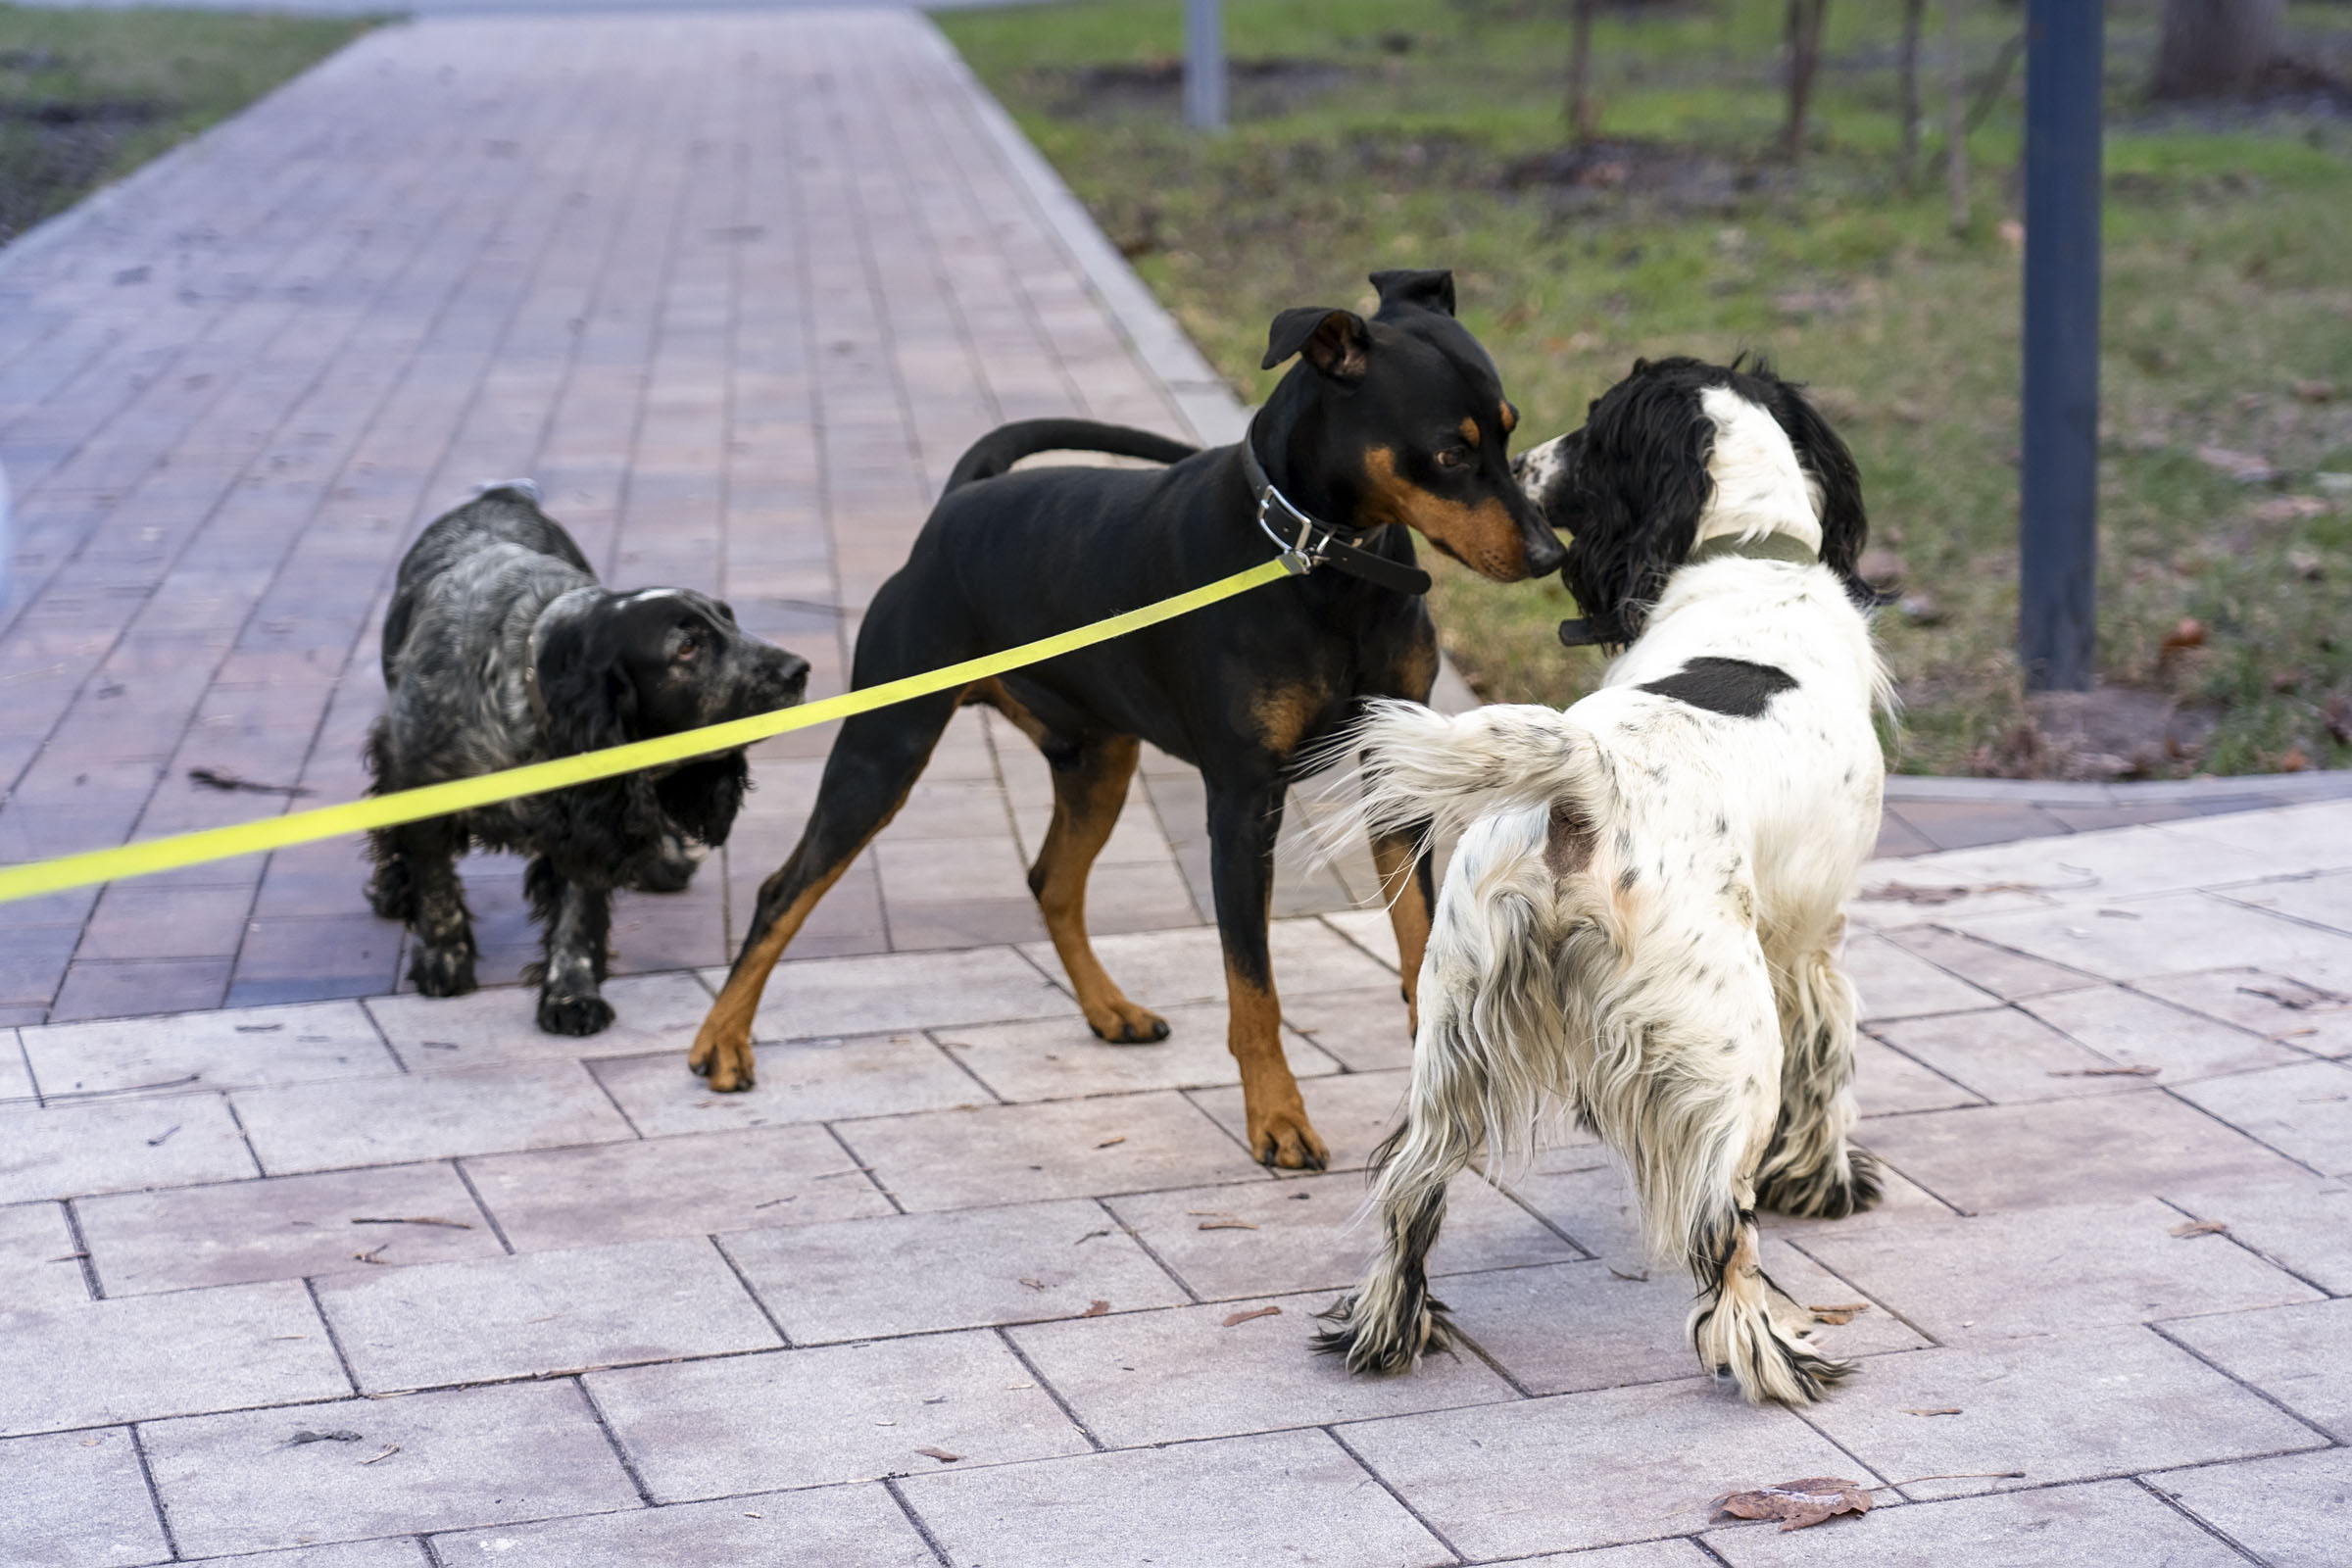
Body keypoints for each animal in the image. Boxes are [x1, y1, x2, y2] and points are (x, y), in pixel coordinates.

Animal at [365, 484, 808, 1034]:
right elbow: (435, 880)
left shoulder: (583, 816)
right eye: (687, 645)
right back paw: (394, 889)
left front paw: (571, 992)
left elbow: (578, 902)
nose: (799, 670)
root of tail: (502, 493)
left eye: (730, 619)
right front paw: (443, 960)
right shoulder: (418, 772)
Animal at [686, 270, 1561, 1165]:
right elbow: (1254, 986)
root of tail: (961, 499)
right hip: (885, 749)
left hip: (1098, 761)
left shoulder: (1392, 771)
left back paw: (1111, 1009)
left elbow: (1418, 940)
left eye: (1508, 431)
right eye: (1450, 451)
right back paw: (722, 1042)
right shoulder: (1242, 802)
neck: (1318, 559)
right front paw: (1277, 1117)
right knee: (784, 890)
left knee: (1051, 881)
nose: (1550, 556)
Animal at [1326, 360, 1890, 1410]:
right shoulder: (1811, 938)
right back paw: (1775, 1357)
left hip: (1452, 1029)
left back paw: (1387, 1331)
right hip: (1733, 1032)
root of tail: (1585, 776)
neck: (1753, 562)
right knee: (1724, 1226)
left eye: (1589, 429)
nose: (1531, 463)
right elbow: (1831, 1053)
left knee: (1409, 1189)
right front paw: (1828, 1183)